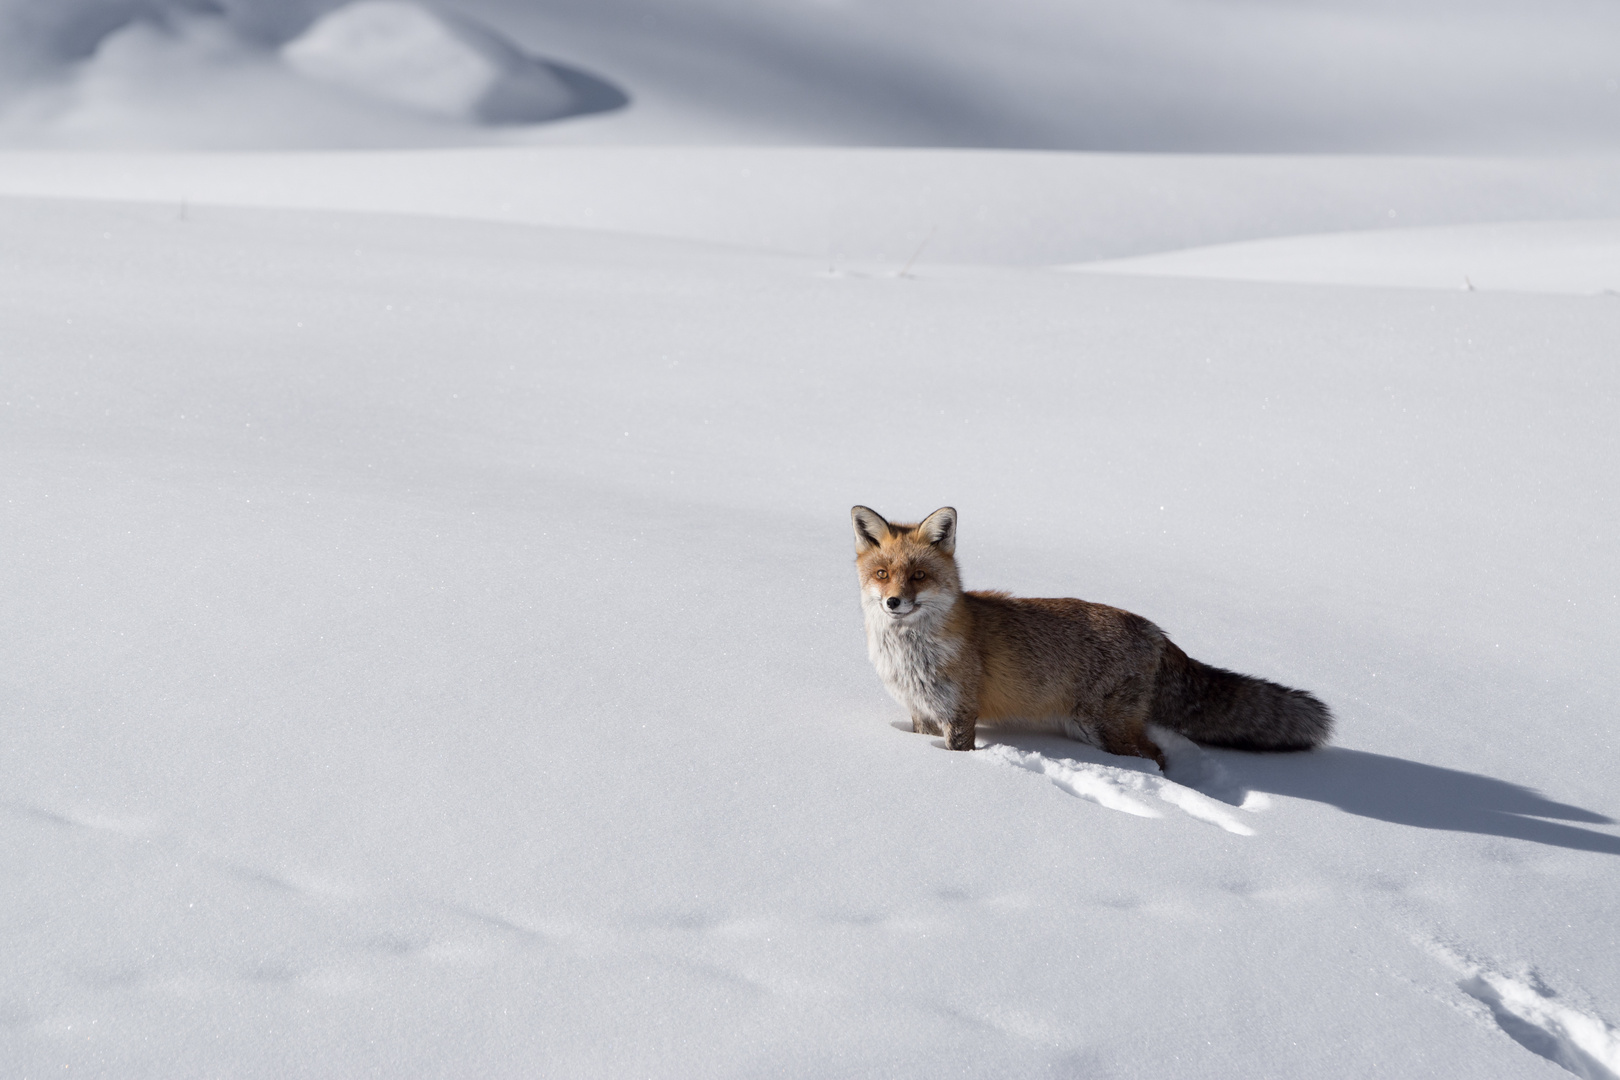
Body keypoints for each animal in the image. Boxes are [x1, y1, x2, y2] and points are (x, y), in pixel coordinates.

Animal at [855, 508, 1334, 767]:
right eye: (882, 573)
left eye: (919, 575)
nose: (894, 602)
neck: (910, 655)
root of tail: (1156, 630)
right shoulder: (921, 712)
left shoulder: (959, 713)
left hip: (1102, 727)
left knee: (1156, 756)